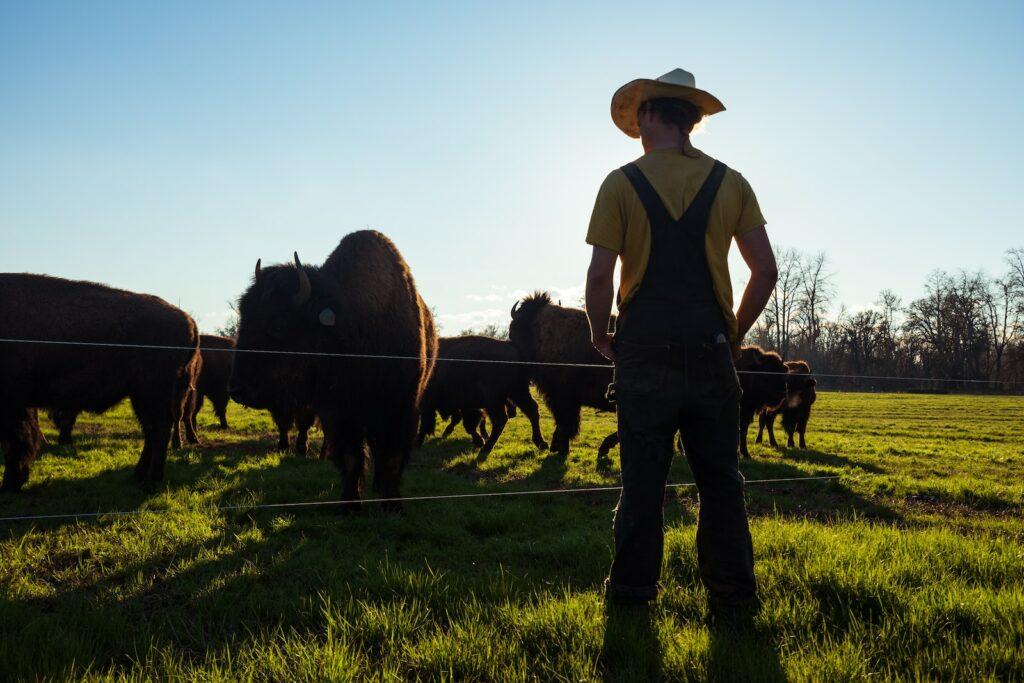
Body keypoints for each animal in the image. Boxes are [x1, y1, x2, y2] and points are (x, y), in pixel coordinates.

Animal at [0, 272, 199, 491]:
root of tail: (189, 320)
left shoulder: (12, 404)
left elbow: (16, 441)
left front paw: (10, 483)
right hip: (142, 396)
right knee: (151, 430)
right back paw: (137, 475)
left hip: (150, 393)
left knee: (159, 430)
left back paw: (150, 482)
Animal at [228, 229, 436, 507]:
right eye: (244, 319)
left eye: (278, 325)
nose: (236, 389)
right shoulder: (338, 413)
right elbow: (351, 458)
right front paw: (350, 504)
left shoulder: (400, 408)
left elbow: (392, 457)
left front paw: (392, 504)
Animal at [413, 337, 548, 458]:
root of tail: (512, 347)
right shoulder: (466, 406)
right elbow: (467, 423)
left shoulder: (430, 404)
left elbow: (427, 424)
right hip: (518, 392)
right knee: (532, 410)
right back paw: (541, 443)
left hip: (496, 399)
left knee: (500, 420)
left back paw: (486, 448)